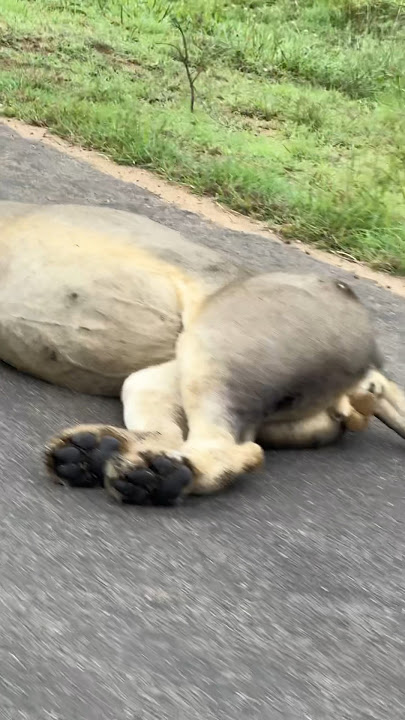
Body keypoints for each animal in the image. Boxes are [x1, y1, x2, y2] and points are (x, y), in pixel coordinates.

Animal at [1, 201, 404, 506]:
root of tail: (373, 364)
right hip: (157, 378)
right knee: (176, 436)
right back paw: (97, 451)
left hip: (217, 350)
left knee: (235, 450)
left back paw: (155, 477)